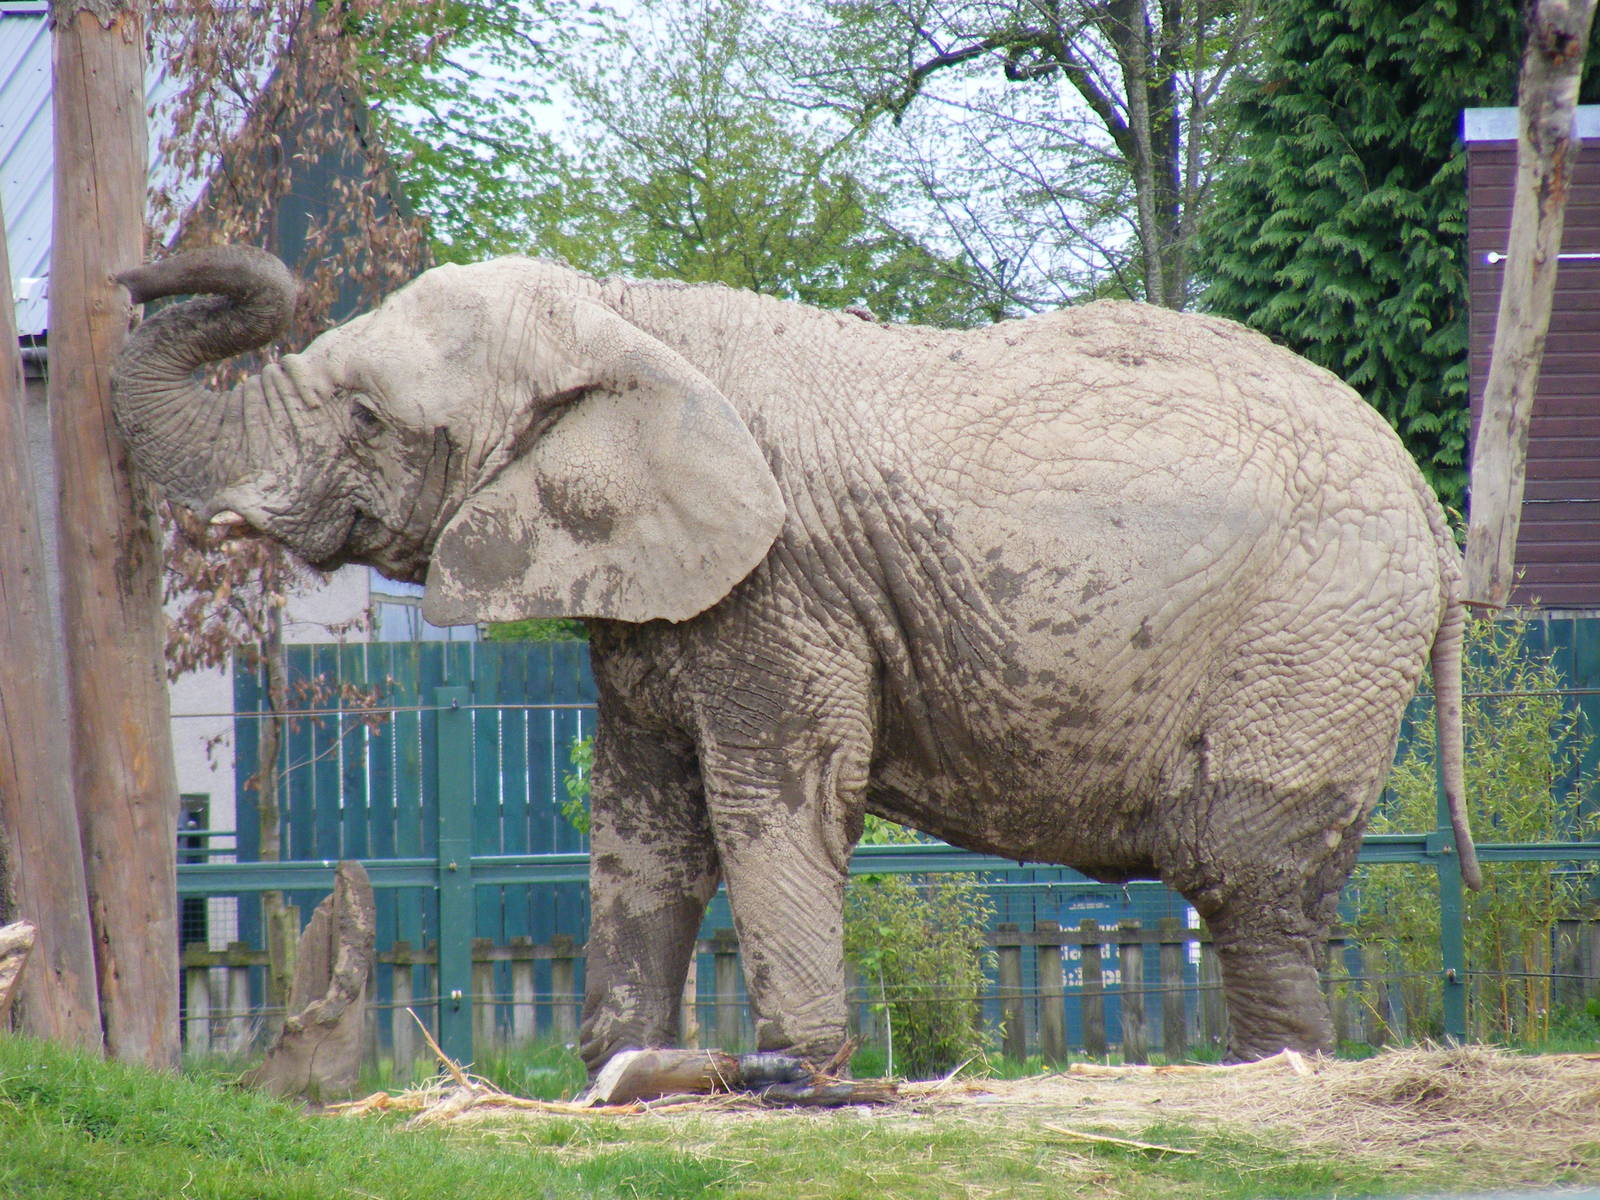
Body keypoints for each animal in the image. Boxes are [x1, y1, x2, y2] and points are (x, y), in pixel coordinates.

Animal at [112, 245, 1481, 1070]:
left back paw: (1275, 1075)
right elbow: (643, 820)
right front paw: (616, 1069)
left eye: (366, 418)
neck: (625, 312)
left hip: (1314, 630)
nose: (132, 274)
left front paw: (798, 1075)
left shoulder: (787, 582)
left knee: (1243, 870)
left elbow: (774, 796)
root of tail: (1429, 510)